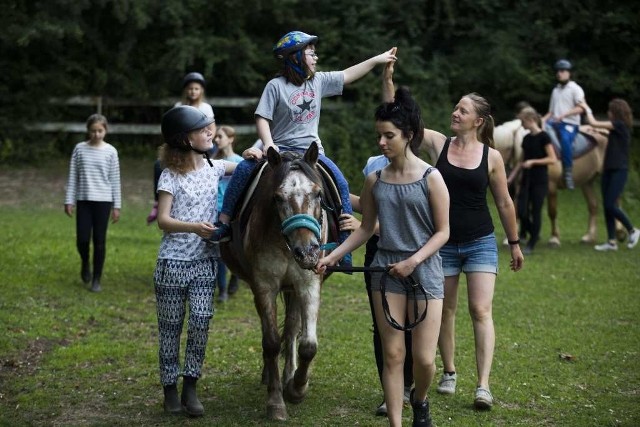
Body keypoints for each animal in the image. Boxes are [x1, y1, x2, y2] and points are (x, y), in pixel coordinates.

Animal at [221, 143, 330, 422]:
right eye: (278, 198)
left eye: (318, 194)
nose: (307, 252)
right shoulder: (264, 285)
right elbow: (270, 342)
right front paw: (276, 402)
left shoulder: (308, 283)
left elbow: (308, 345)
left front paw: (297, 388)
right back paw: (271, 376)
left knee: (291, 329)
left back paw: (288, 375)